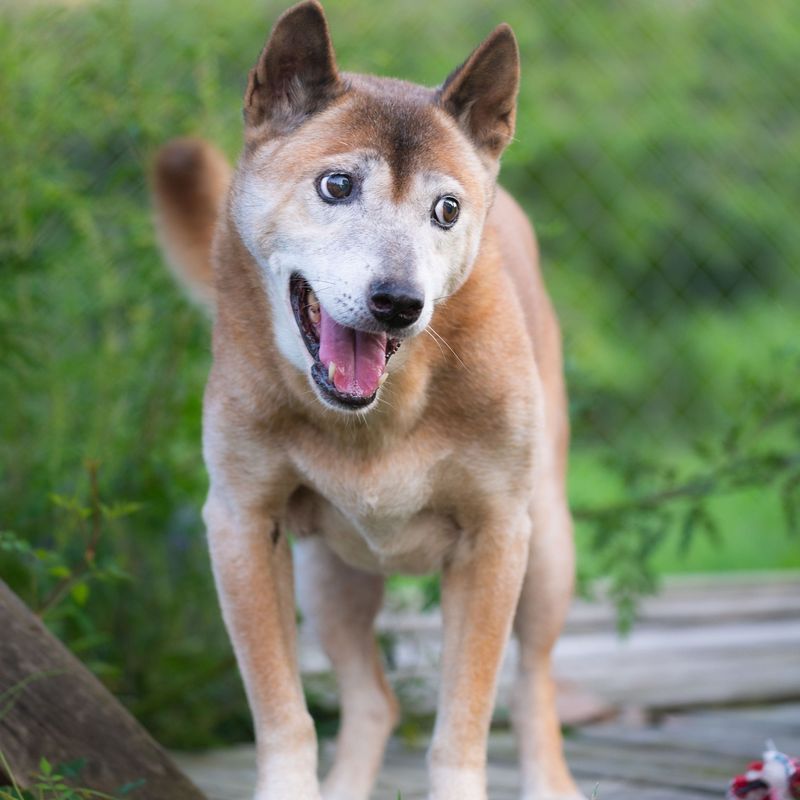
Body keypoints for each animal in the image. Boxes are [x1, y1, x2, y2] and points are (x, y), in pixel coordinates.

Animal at [153, 3, 584, 796]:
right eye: (336, 186)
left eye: (446, 209)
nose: (399, 302)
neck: (380, 415)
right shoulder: (241, 523)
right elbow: (284, 715)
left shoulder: (495, 537)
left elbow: (463, 726)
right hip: (332, 581)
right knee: (374, 700)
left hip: (546, 547)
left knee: (532, 686)